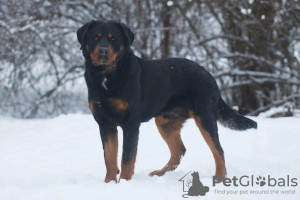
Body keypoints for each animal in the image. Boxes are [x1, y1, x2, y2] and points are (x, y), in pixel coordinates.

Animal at [76, 19, 256, 183]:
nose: (103, 51)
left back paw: (219, 178)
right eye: (95, 37)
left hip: (205, 116)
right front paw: (109, 183)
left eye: (113, 39)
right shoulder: (105, 123)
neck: (107, 76)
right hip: (165, 121)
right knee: (179, 150)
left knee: (218, 150)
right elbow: (110, 157)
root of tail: (209, 75)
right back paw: (159, 173)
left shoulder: (131, 123)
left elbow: (126, 158)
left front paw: (125, 182)